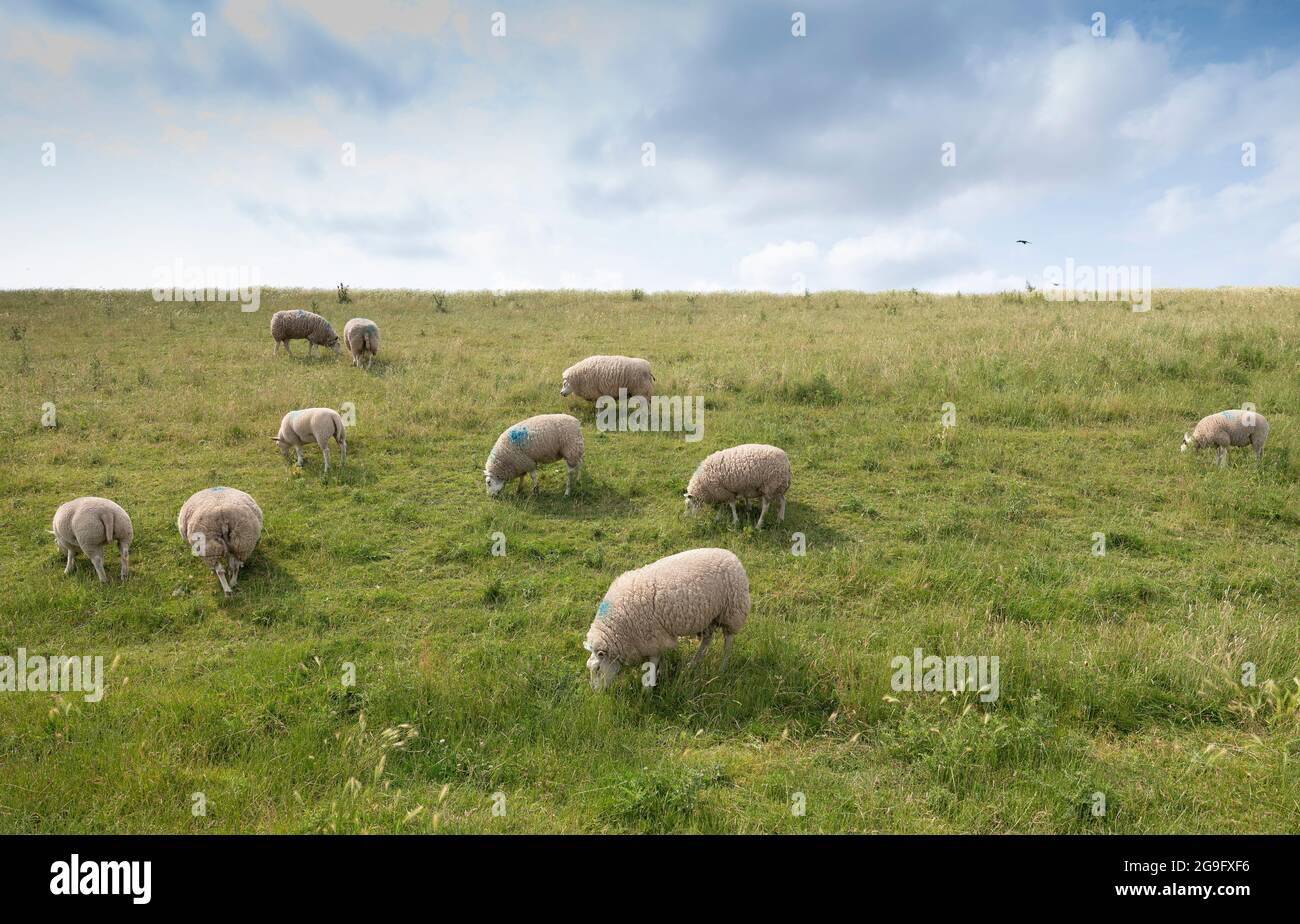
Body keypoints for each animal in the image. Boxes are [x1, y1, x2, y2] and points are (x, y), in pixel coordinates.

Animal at [584, 547, 749, 691]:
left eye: (597, 669)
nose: (596, 692)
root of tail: (732, 556)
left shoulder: (652, 638)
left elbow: (653, 663)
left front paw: (647, 690)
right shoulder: (658, 637)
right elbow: (661, 658)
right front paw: (661, 673)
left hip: (732, 611)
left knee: (728, 642)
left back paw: (722, 668)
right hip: (709, 616)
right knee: (707, 640)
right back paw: (693, 664)